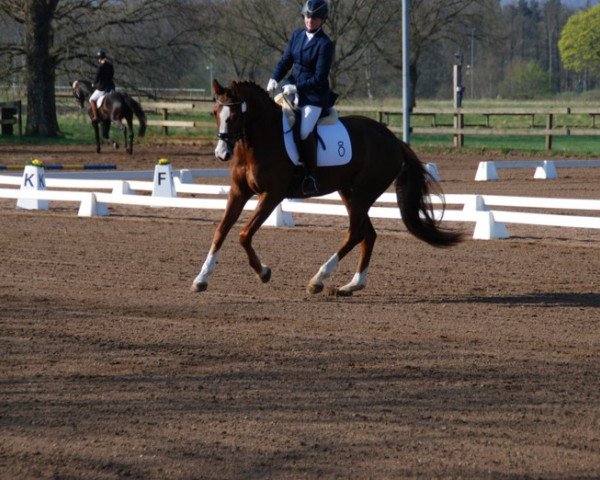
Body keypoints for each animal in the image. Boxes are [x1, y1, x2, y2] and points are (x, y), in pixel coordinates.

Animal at [190, 79, 462, 296]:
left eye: (235, 115)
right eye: (215, 112)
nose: (221, 154)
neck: (259, 141)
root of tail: (394, 140)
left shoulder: (272, 195)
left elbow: (244, 234)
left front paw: (263, 272)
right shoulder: (239, 192)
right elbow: (221, 231)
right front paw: (201, 279)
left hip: (363, 193)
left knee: (355, 234)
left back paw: (318, 279)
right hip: (349, 193)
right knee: (368, 234)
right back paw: (352, 285)